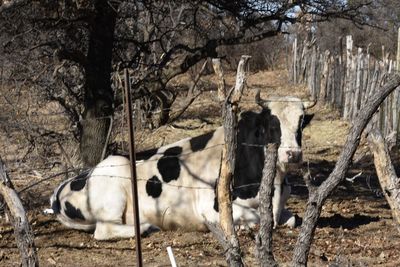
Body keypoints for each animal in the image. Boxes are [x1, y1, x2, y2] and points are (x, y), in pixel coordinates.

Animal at [48, 94, 314, 241]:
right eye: (271, 125)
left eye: (301, 123)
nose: (293, 154)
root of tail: (60, 189)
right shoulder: (211, 207)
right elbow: (257, 218)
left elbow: (292, 219)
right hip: (115, 181)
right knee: (104, 230)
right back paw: (147, 227)